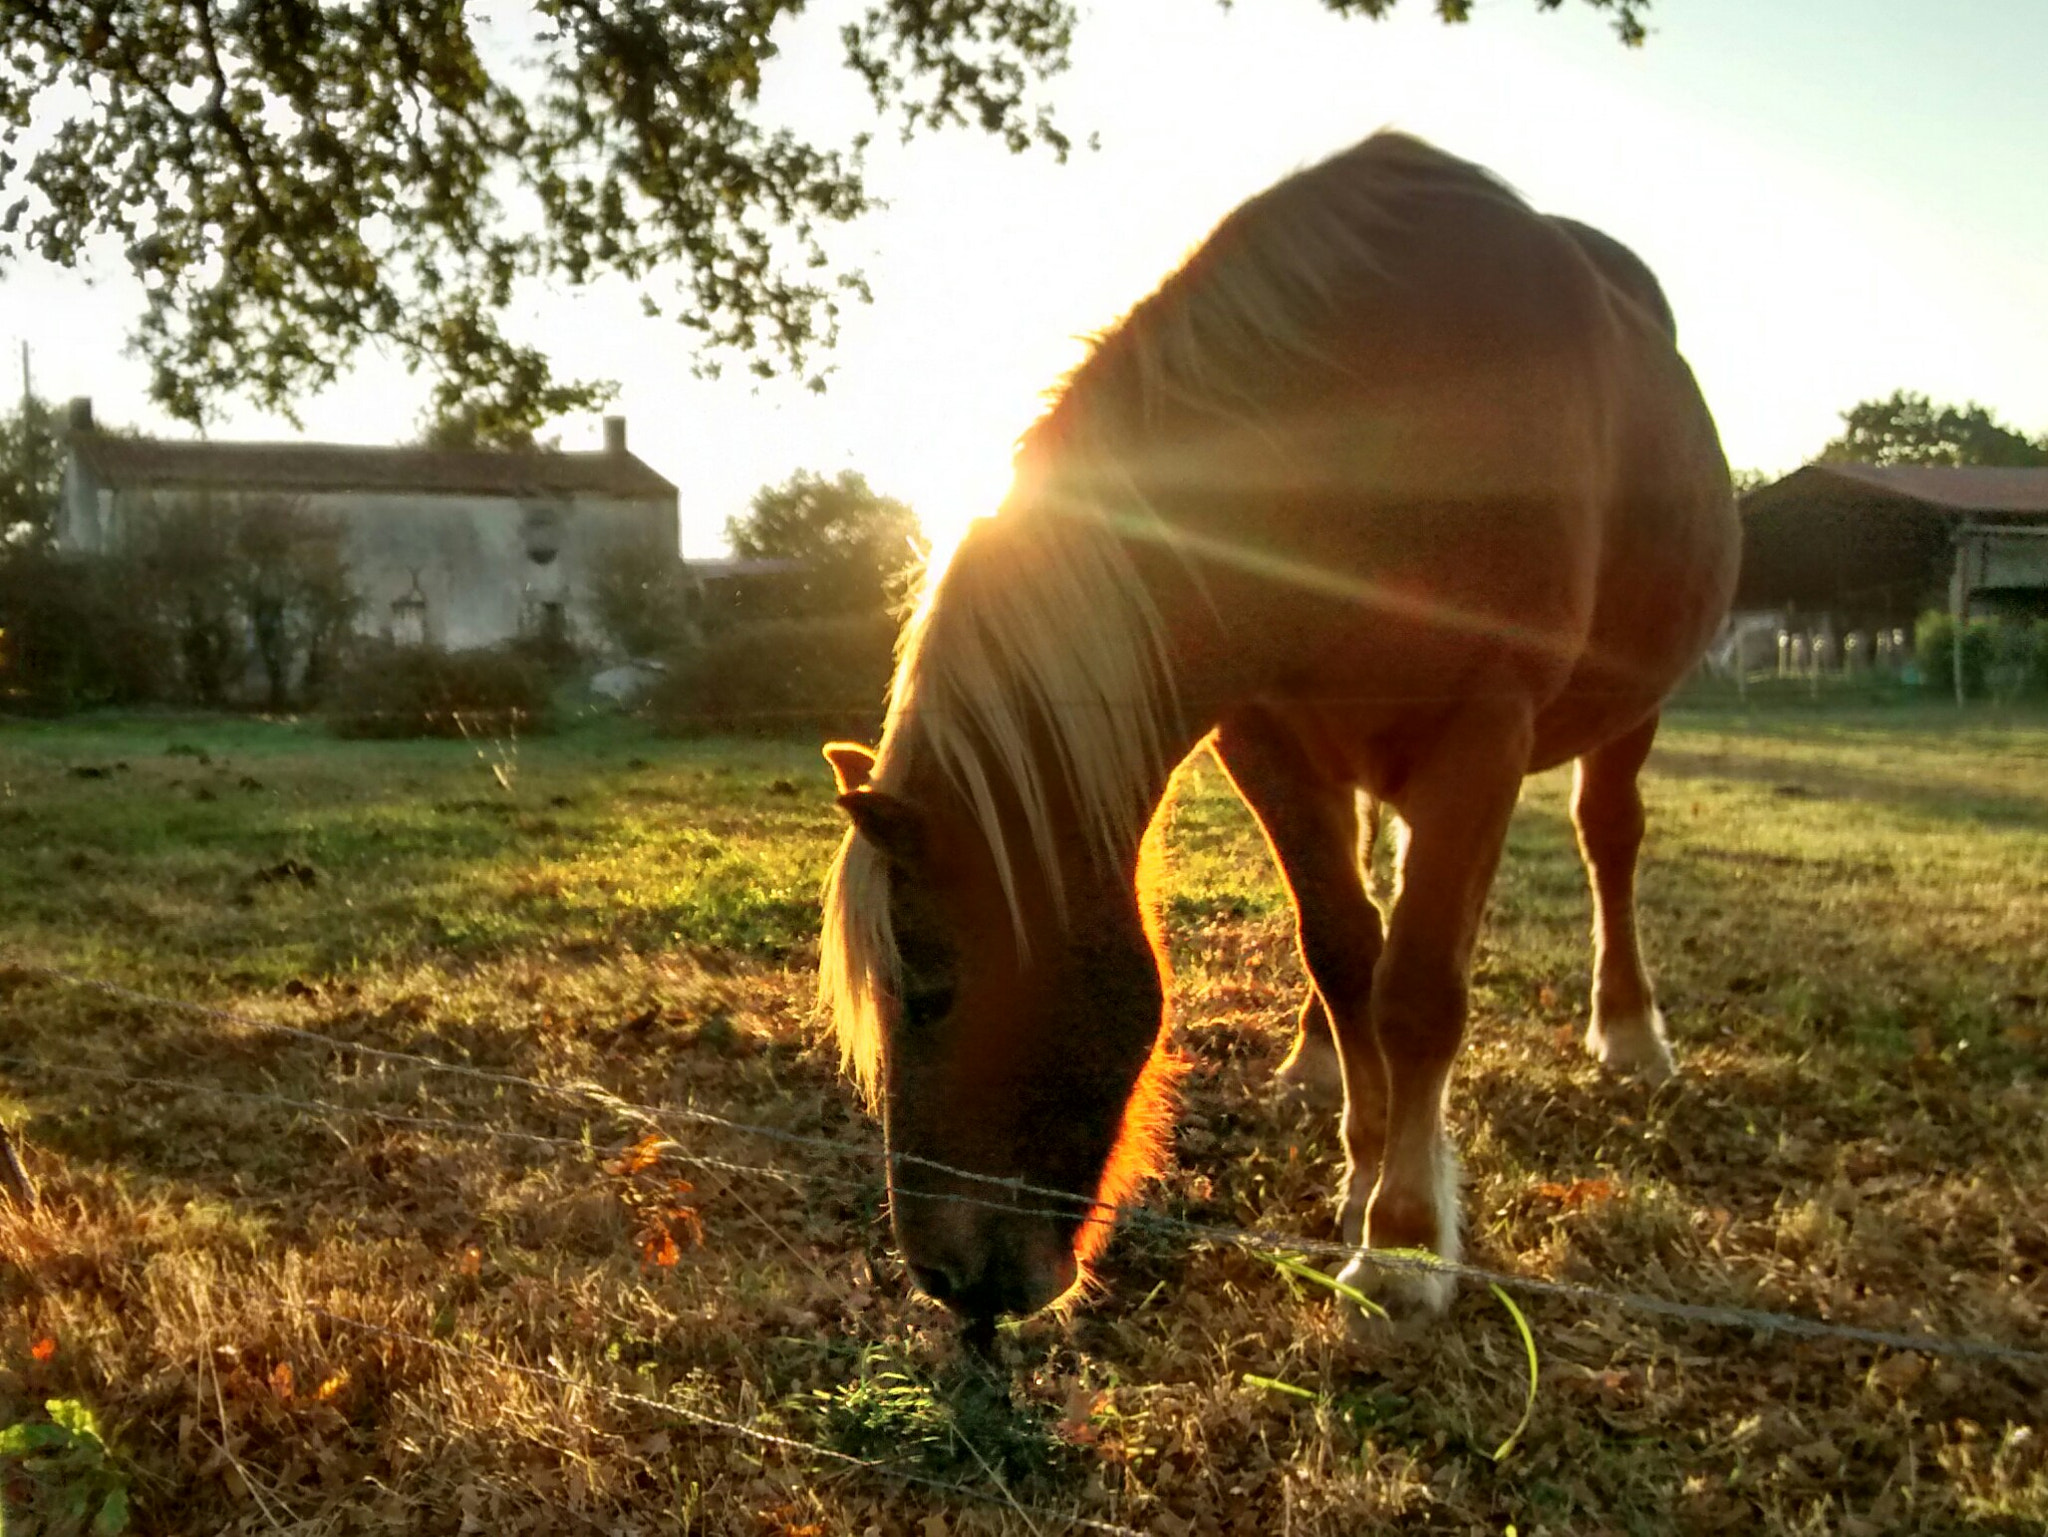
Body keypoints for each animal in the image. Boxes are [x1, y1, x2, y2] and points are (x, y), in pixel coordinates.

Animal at [819, 132, 1744, 1336]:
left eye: (930, 992)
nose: (951, 1282)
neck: (1364, 425)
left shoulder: (1483, 730)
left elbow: (1419, 991)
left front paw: (1402, 1240)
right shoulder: (1261, 738)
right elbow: (1344, 950)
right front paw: (1363, 1178)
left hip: (1627, 713)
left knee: (1607, 839)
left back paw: (1630, 1034)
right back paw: (1315, 1063)